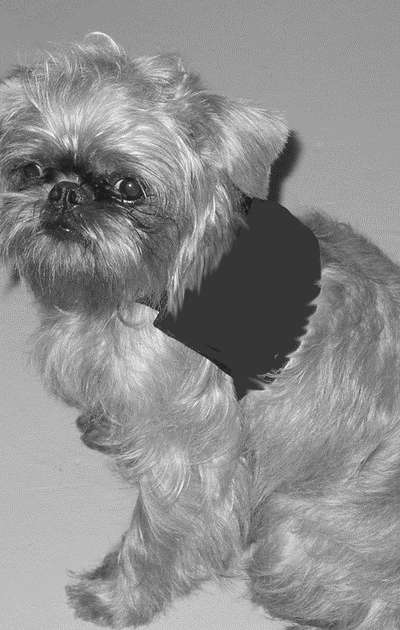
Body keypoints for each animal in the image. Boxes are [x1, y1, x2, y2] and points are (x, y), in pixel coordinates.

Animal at [1, 33, 400, 630]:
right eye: (29, 170)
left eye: (128, 186)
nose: (66, 192)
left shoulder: (194, 467)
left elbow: (155, 541)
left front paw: (116, 597)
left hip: (287, 537)